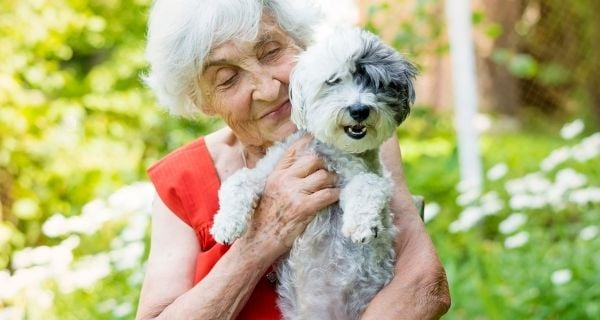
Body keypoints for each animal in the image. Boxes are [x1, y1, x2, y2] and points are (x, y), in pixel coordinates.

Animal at [211, 28, 418, 320]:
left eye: (375, 82)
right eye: (333, 81)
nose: (359, 110)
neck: (330, 150)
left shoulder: (373, 177)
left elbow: (367, 184)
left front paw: (361, 225)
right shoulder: (269, 170)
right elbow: (238, 182)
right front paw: (226, 224)